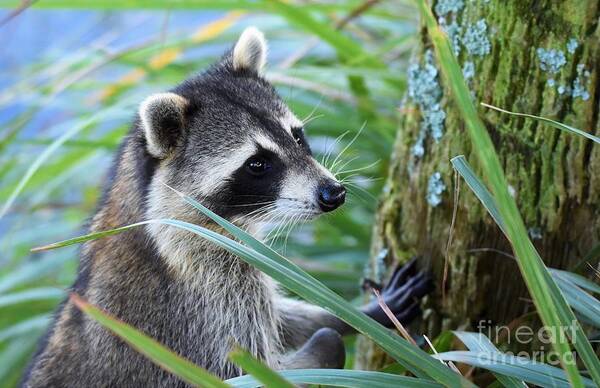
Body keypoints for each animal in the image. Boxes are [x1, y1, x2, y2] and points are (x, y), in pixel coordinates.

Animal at [19, 25, 432, 386]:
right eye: (258, 164)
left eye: (298, 137)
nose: (334, 194)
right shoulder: (199, 307)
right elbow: (248, 373)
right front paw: (327, 341)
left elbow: (280, 317)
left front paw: (358, 314)